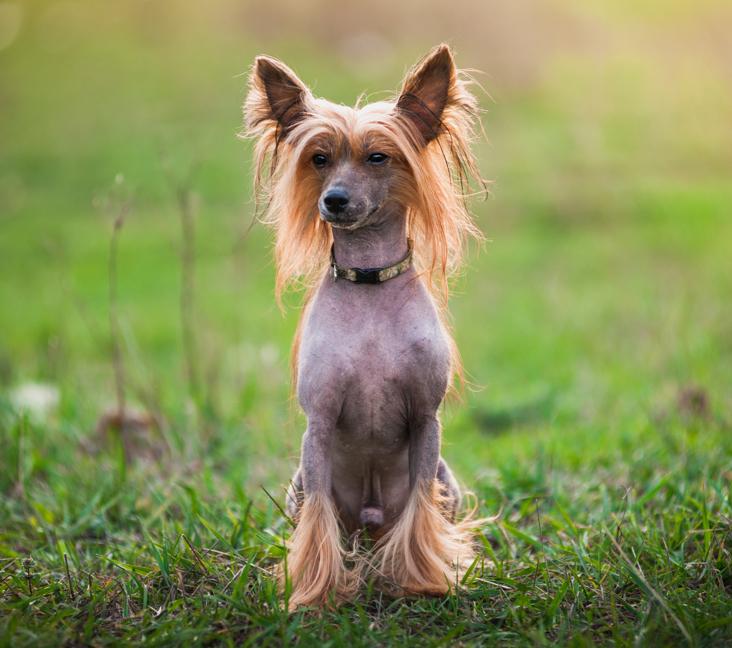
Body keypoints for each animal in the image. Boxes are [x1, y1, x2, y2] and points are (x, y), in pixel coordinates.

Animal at [244, 43, 486, 612]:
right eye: (318, 158)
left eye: (378, 157)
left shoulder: (425, 422)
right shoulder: (319, 427)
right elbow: (317, 524)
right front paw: (313, 594)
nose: (332, 199)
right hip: (299, 485)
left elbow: (420, 510)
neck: (371, 285)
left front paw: (423, 580)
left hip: (448, 480)